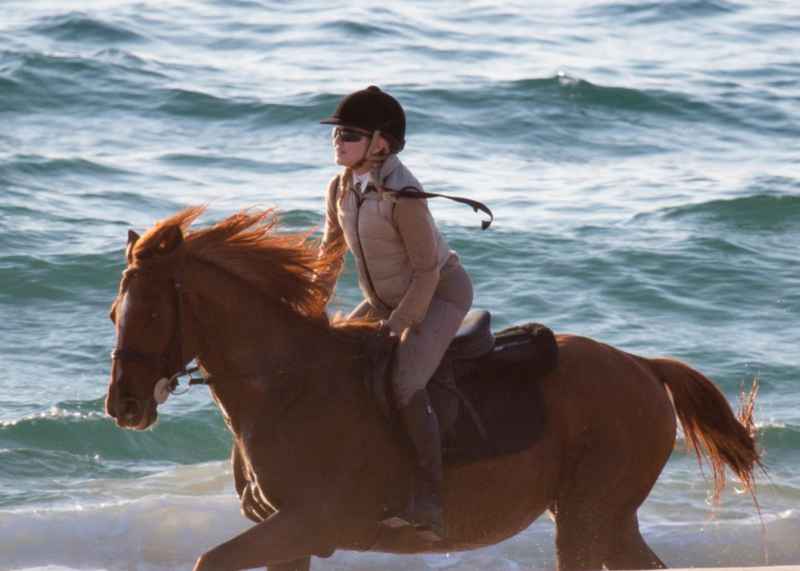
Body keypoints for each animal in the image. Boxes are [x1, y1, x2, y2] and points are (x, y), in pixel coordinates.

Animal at [103, 207, 760, 571]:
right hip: (609, 519)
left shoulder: (309, 524)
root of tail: (644, 367)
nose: (123, 406)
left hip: (588, 516)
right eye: (114, 312)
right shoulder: (288, 537)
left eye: (152, 314)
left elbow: (208, 559)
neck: (286, 389)